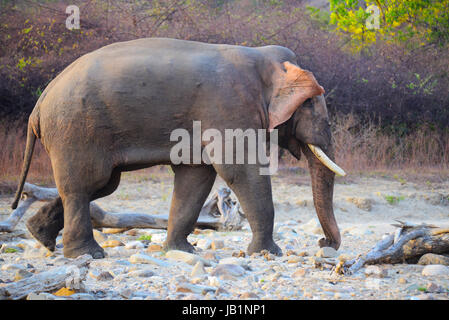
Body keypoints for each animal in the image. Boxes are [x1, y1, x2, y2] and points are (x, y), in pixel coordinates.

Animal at [13, 37, 344, 258]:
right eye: (312, 103)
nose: (324, 244)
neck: (263, 59)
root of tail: (39, 105)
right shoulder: (229, 107)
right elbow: (240, 171)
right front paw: (267, 253)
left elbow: (196, 178)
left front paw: (182, 251)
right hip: (77, 130)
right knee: (86, 184)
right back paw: (87, 255)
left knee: (99, 185)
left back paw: (39, 236)